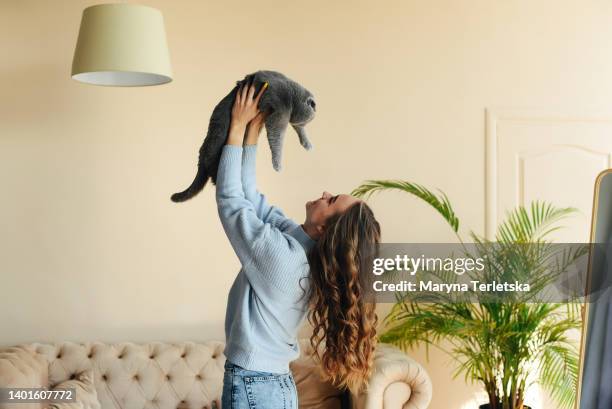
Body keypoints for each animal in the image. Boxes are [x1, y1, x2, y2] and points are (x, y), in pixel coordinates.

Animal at [171, 71, 316, 204]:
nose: (305, 122)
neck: (292, 93)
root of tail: (201, 158)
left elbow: (296, 131)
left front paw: (306, 142)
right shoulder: (280, 112)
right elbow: (277, 138)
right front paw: (277, 164)